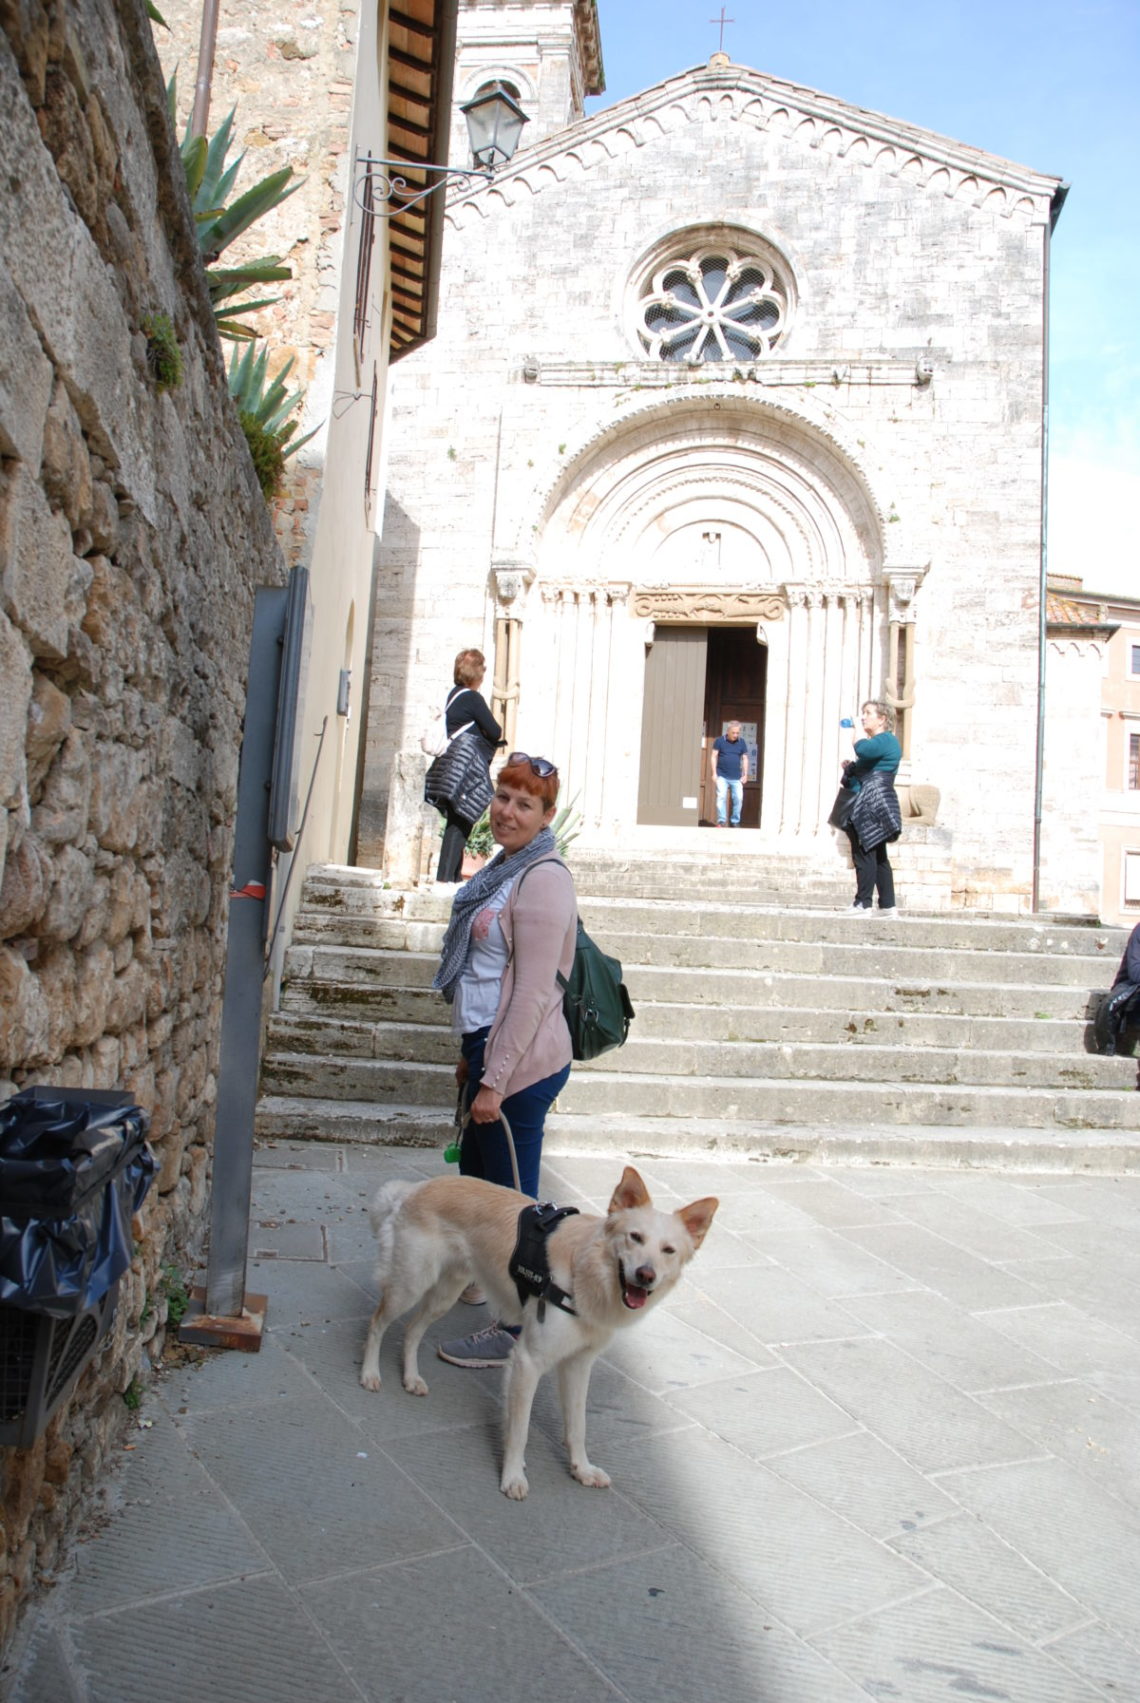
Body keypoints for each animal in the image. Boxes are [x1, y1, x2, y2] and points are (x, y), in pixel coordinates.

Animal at [359, 1178, 715, 1498]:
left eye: (668, 1250)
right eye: (635, 1237)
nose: (645, 1275)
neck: (585, 1270)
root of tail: (414, 1188)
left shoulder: (578, 1365)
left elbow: (577, 1426)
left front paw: (581, 1469)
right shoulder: (528, 1361)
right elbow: (520, 1429)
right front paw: (513, 1477)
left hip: (445, 1293)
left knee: (412, 1330)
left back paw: (411, 1378)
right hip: (409, 1285)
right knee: (377, 1323)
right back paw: (370, 1374)